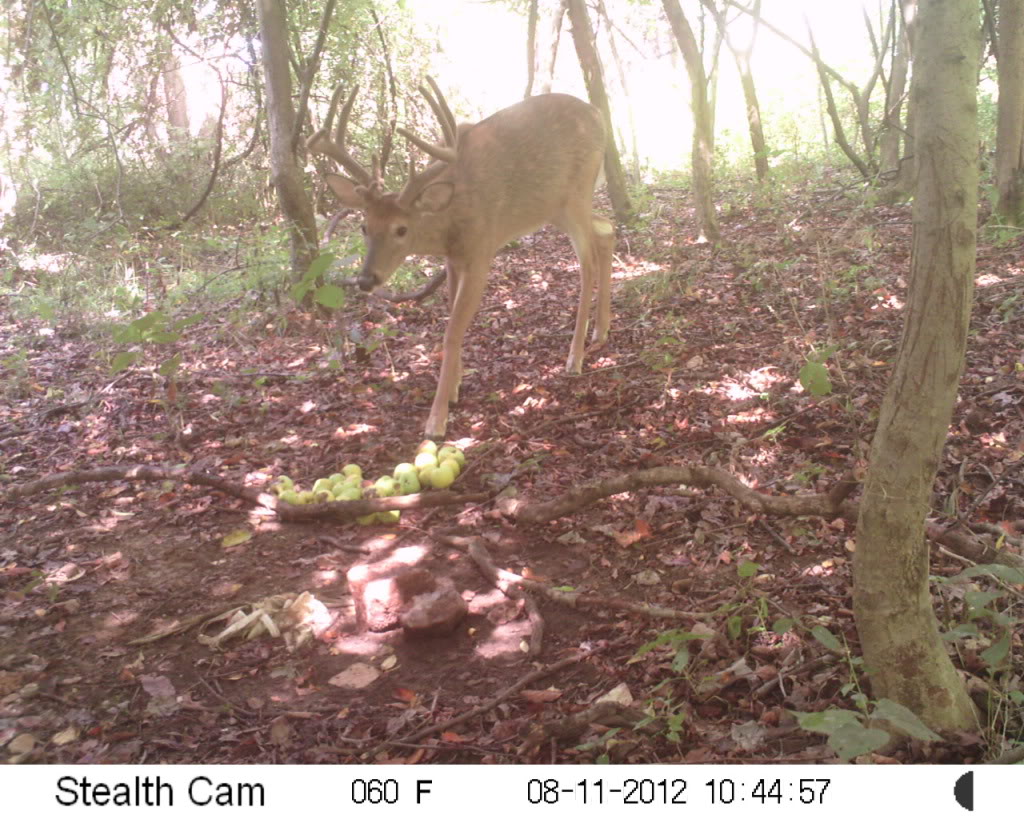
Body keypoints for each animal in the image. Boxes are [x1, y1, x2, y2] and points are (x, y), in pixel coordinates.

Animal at [307, 82, 610, 438]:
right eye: (364, 226)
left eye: (401, 229)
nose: (367, 279)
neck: (450, 217)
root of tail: (598, 115)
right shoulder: (453, 260)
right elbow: (452, 314)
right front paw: (455, 385)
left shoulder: (481, 252)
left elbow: (452, 331)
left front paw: (436, 419)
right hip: (556, 208)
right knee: (607, 230)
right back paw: (601, 330)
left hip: (577, 193)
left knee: (588, 261)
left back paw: (575, 357)